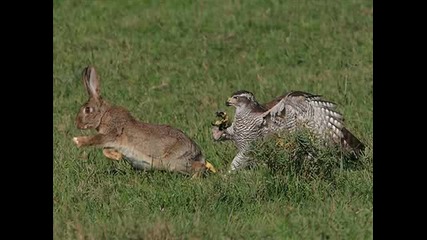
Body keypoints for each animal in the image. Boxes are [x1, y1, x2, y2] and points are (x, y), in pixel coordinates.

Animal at [73, 65, 217, 176]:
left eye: (87, 110)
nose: (77, 124)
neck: (103, 115)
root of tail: (197, 152)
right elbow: (105, 150)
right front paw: (118, 157)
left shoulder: (113, 133)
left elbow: (95, 140)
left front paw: (77, 141)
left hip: (174, 162)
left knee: (199, 167)